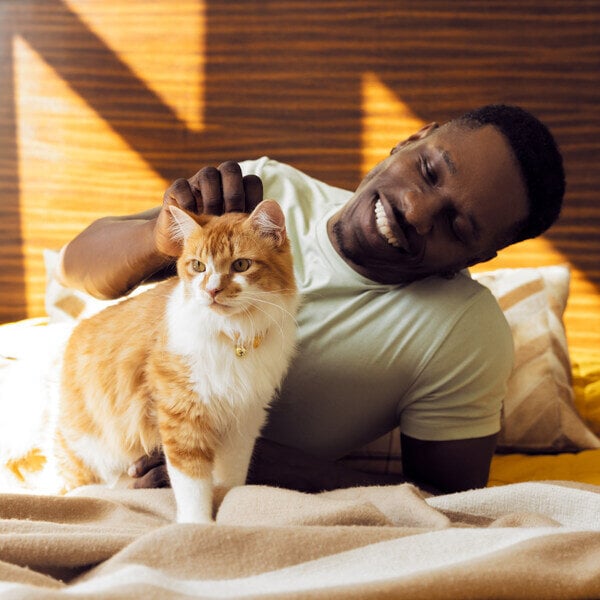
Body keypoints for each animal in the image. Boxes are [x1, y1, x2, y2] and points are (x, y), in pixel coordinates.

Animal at [56, 200, 300, 520]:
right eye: (198, 266)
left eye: (241, 265)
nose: (212, 290)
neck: (232, 335)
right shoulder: (182, 414)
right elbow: (192, 483)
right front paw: (198, 523)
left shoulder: (243, 418)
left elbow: (230, 479)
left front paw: (226, 510)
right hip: (87, 451)